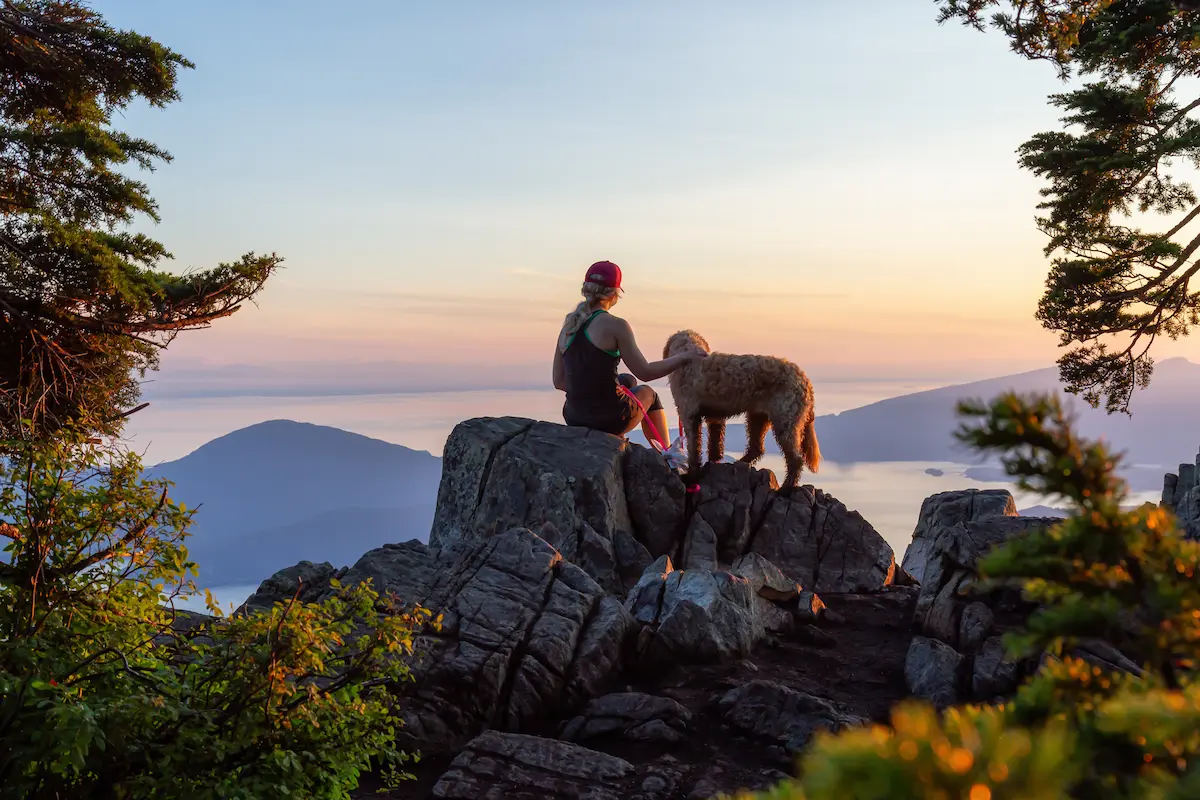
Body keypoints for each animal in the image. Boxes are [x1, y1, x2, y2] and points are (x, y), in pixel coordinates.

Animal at [662, 331, 820, 489]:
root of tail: (805, 380)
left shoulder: (689, 415)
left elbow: (694, 449)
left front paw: (692, 475)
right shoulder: (715, 416)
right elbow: (714, 443)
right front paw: (713, 460)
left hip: (784, 422)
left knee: (795, 459)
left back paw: (786, 487)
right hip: (757, 416)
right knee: (757, 448)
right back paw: (740, 463)